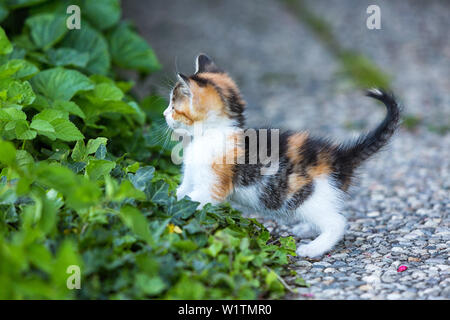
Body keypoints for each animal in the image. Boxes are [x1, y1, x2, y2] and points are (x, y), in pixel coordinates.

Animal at [164, 54, 400, 258]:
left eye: (173, 107)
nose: (164, 114)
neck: (211, 136)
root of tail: (341, 158)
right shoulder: (191, 177)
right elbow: (181, 191)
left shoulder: (213, 186)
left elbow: (192, 199)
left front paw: (171, 211)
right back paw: (306, 228)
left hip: (308, 196)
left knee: (337, 222)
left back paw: (314, 248)